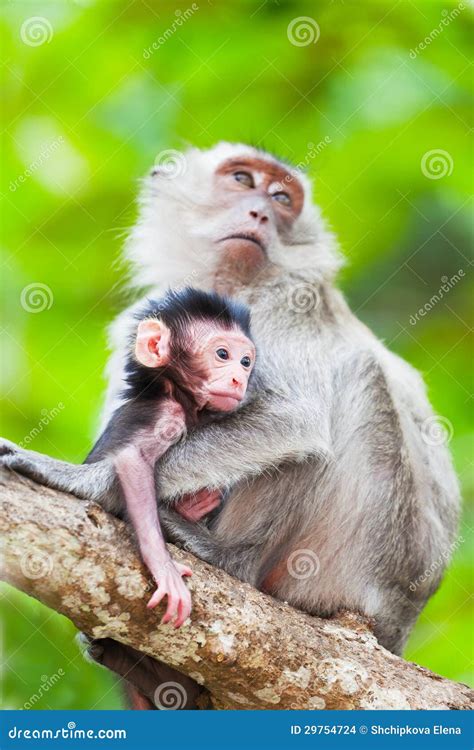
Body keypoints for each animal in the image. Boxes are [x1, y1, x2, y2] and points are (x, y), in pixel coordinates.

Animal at [1, 143, 460, 709]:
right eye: (242, 180)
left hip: (354, 568)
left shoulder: (290, 302)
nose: (260, 211)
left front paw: (90, 481)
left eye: (282, 197)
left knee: (351, 380)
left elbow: (293, 420)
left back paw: (229, 557)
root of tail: (399, 628)